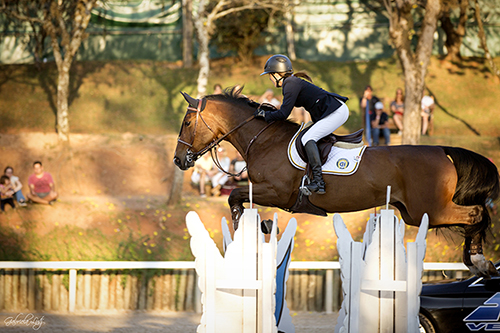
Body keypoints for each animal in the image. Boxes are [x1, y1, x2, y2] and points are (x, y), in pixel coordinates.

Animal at [174, 88, 498, 278]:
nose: (179, 160)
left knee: (476, 213)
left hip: (427, 209)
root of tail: (442, 150)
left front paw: (251, 226)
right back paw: (478, 261)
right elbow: (238, 198)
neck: (263, 139)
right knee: (474, 215)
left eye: (187, 123)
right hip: (416, 213)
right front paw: (259, 226)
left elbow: (235, 197)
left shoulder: (277, 192)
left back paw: (479, 260)